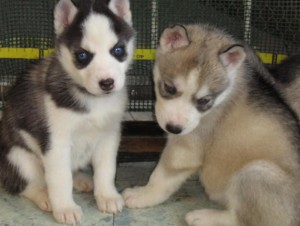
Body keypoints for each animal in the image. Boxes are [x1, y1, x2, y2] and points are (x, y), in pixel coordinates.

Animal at [0, 0, 135, 223]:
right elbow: (61, 179)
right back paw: (44, 196)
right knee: (26, 185)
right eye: (82, 55)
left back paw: (81, 179)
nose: (107, 83)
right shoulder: (55, 142)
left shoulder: (109, 136)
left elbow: (106, 169)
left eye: (117, 50)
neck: (93, 100)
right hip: (19, 157)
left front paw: (106, 195)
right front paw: (65, 208)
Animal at [123, 23, 300, 225]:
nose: (174, 128)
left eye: (204, 100)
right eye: (169, 88)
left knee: (243, 219)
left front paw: (143, 195)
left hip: (256, 172)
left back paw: (204, 217)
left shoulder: (188, 145)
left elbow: (160, 176)